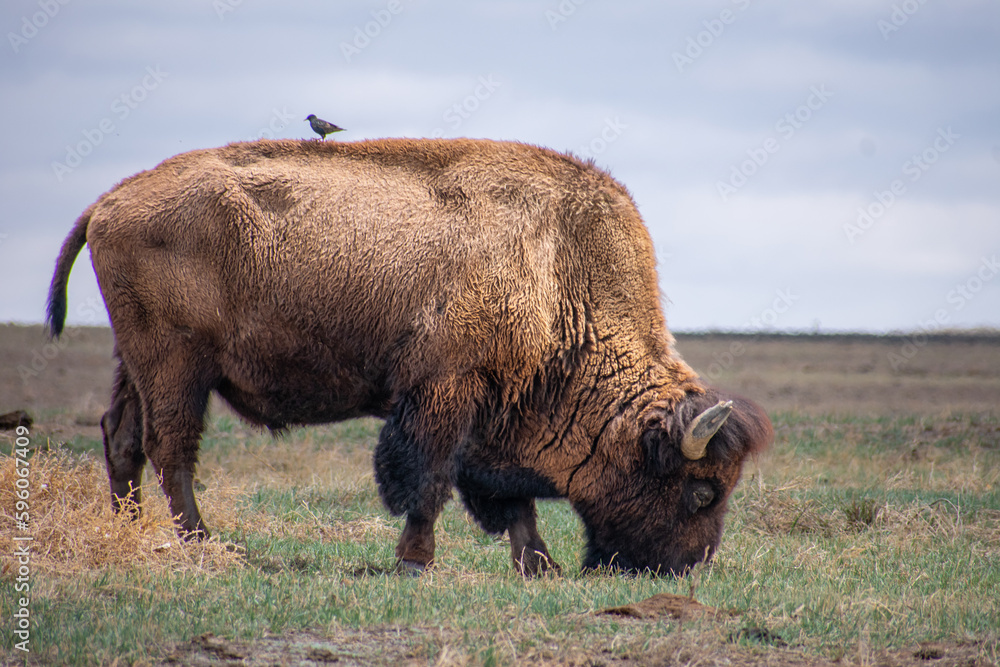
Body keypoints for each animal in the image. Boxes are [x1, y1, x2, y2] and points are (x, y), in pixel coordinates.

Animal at [45, 138, 772, 576]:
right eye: (701, 489)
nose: (688, 565)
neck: (558, 272)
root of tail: (110, 200)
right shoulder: (444, 391)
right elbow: (429, 479)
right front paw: (415, 562)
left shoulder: (496, 411)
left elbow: (508, 497)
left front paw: (538, 565)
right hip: (176, 365)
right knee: (171, 448)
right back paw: (211, 546)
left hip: (134, 362)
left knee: (122, 438)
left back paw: (132, 533)